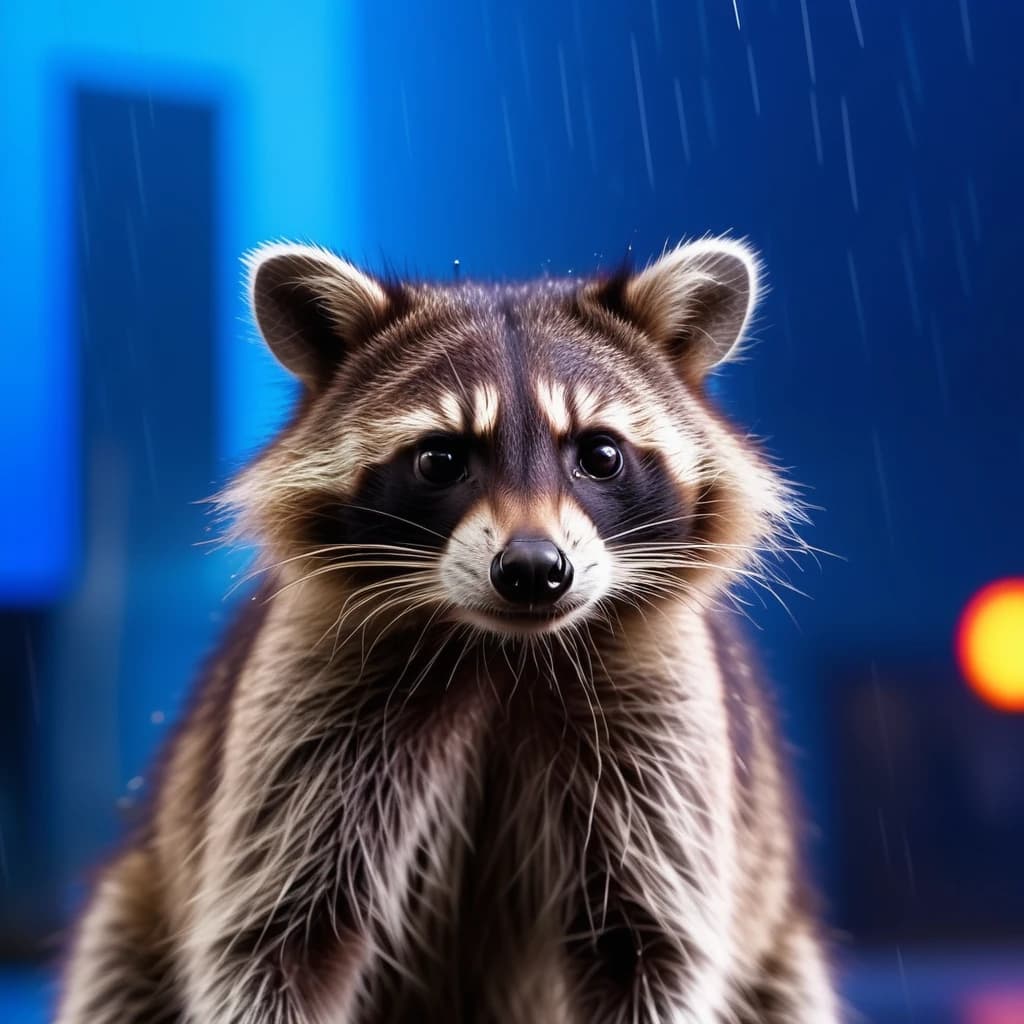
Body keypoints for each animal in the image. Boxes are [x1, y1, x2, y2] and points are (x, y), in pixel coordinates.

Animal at [57, 238, 840, 1024]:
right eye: (441, 458)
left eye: (600, 454)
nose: (533, 570)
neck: (504, 650)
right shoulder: (314, 705)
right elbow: (272, 942)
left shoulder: (661, 723)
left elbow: (650, 946)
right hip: (136, 903)